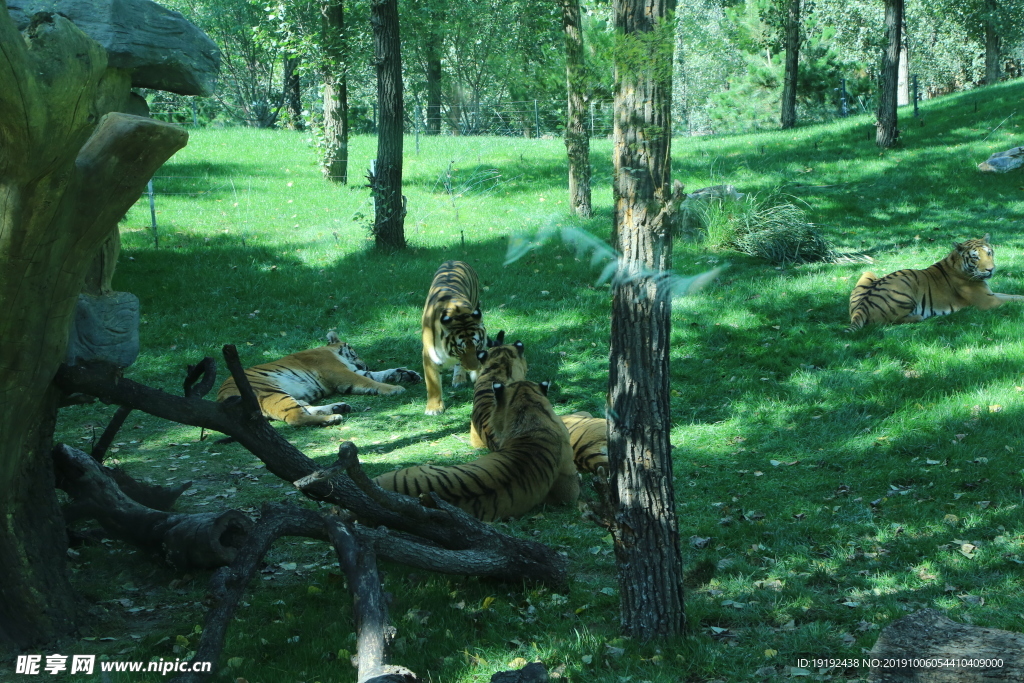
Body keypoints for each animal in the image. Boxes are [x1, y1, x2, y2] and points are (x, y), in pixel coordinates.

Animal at [217, 332, 421, 426]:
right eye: (355, 352)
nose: (365, 365)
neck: (329, 350)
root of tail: (220, 397)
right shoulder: (340, 372)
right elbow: (369, 381)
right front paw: (394, 389)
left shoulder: (350, 371)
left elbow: (378, 374)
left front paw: (406, 374)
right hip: (270, 392)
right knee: (295, 417)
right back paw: (333, 417)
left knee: (304, 409)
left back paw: (339, 407)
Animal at [421, 260, 488, 415]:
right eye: (460, 349)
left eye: (477, 346)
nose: (474, 367)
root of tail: (454, 260)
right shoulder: (429, 355)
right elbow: (432, 383)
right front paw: (433, 408)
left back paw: (459, 379)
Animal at [846, 234, 1024, 332]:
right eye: (975, 257)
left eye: (989, 253)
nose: (990, 269)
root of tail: (861, 307)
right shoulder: (988, 301)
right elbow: (1015, 299)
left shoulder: (992, 295)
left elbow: (1014, 295)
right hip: (906, 283)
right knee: (892, 321)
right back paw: (919, 317)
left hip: (869, 273)